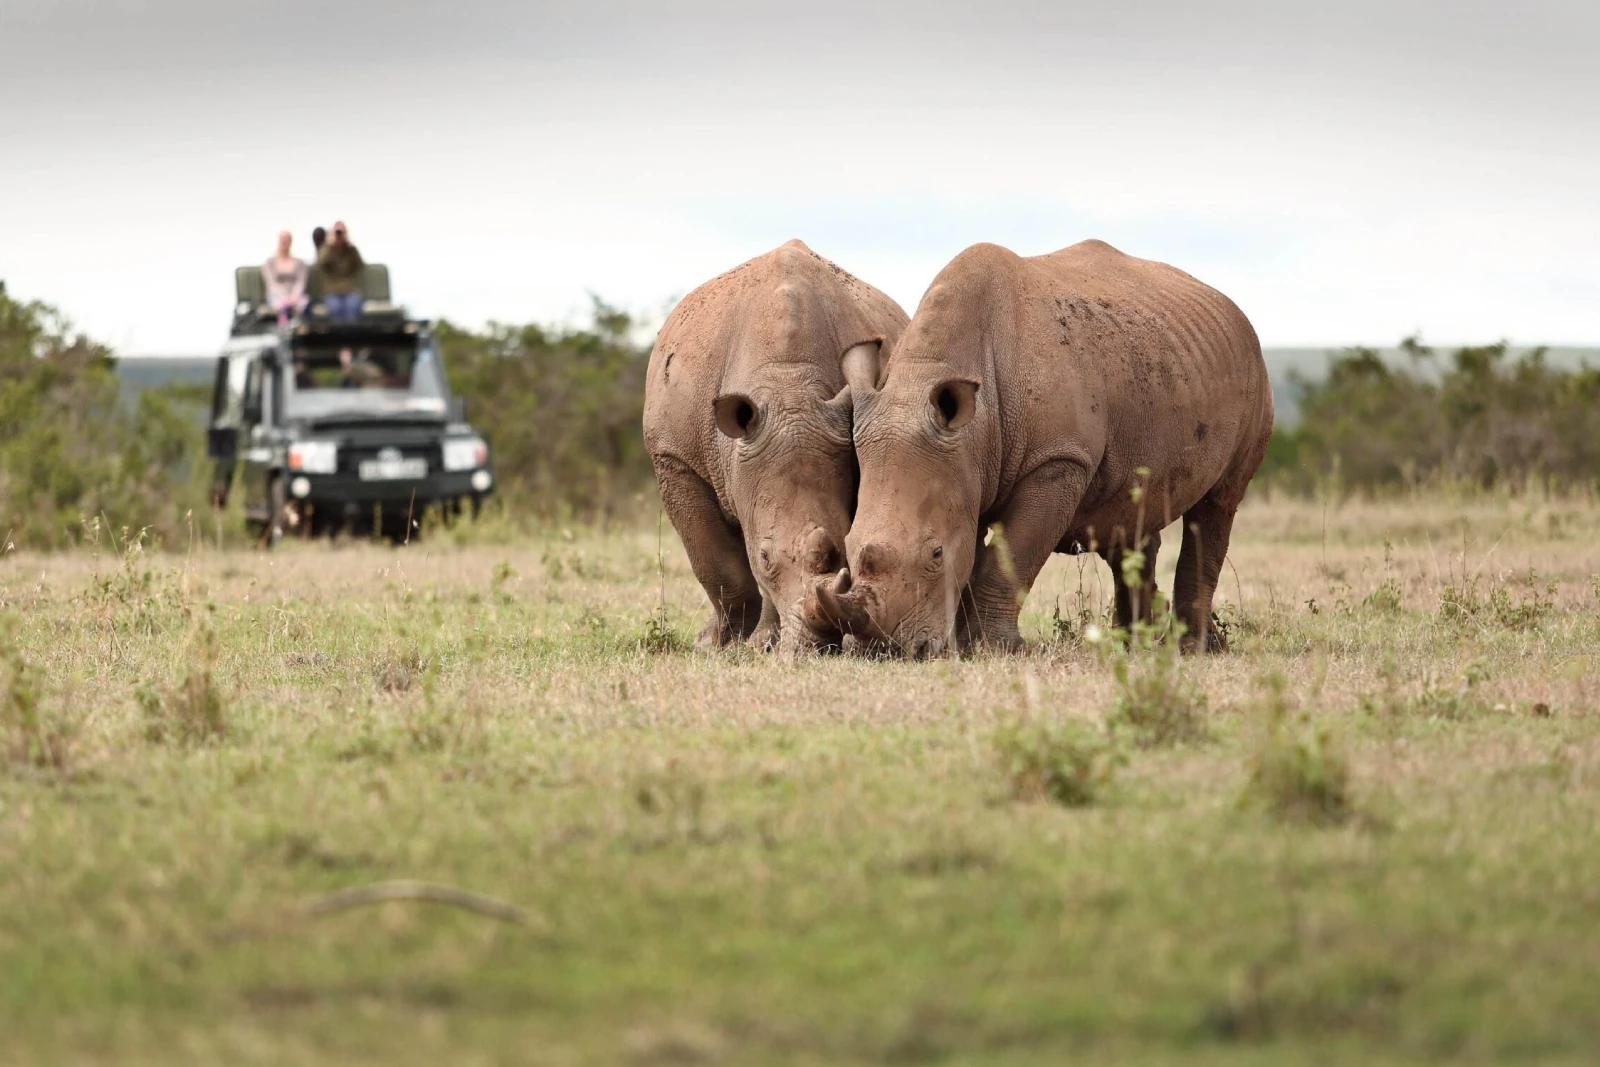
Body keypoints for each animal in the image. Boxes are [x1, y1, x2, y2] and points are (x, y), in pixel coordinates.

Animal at [644, 240, 909, 651]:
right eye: (766, 555)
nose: (821, 643)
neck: (788, 385)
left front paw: (761, 644)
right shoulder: (675, 457)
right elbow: (719, 563)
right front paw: (718, 644)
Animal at [815, 239, 1273, 656]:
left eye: (935, 553)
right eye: (848, 546)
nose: (880, 650)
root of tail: (1230, 308)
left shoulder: (1057, 461)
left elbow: (1008, 559)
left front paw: (995, 649)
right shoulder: (963, 466)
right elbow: (976, 555)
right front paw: (964, 647)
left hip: (1252, 370)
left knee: (1218, 505)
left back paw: (1193, 649)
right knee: (1133, 512)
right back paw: (1135, 646)